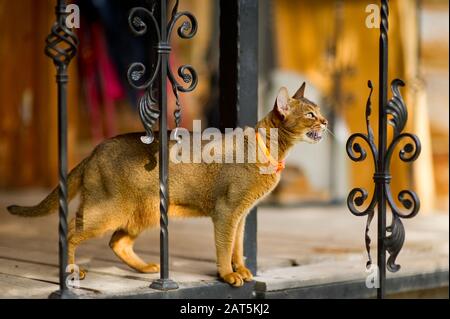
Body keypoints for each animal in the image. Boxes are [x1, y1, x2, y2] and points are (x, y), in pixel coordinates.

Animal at [7, 82, 326, 288]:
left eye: (319, 111)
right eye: (310, 114)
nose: (324, 121)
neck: (267, 148)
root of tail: (93, 152)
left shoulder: (242, 214)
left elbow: (237, 246)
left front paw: (243, 270)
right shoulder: (227, 211)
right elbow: (224, 247)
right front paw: (227, 275)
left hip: (143, 210)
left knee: (117, 241)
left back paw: (147, 268)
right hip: (106, 209)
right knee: (71, 231)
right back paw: (71, 271)